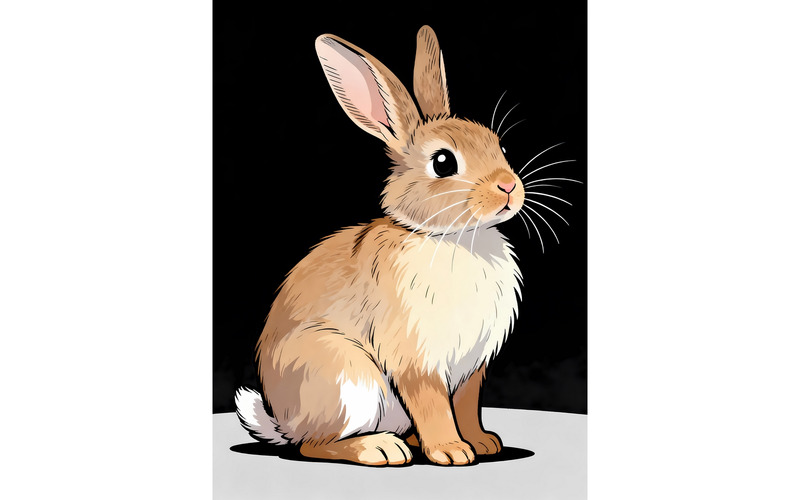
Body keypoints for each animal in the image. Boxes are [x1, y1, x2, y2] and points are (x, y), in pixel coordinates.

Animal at [235, 25, 525, 466]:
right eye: (443, 162)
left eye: (501, 147)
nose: (508, 186)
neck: (450, 238)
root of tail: (282, 422)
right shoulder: (415, 359)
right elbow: (433, 405)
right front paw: (452, 452)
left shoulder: (471, 368)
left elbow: (465, 405)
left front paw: (481, 443)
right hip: (347, 377)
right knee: (313, 444)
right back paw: (381, 448)